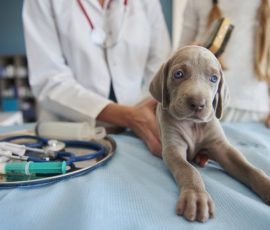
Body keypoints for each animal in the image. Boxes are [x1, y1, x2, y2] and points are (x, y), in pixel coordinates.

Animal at [150, 45, 270, 223]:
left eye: (214, 78)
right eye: (178, 74)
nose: (197, 104)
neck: (193, 125)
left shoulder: (222, 148)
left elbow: (250, 168)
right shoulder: (173, 148)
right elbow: (188, 169)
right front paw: (196, 196)